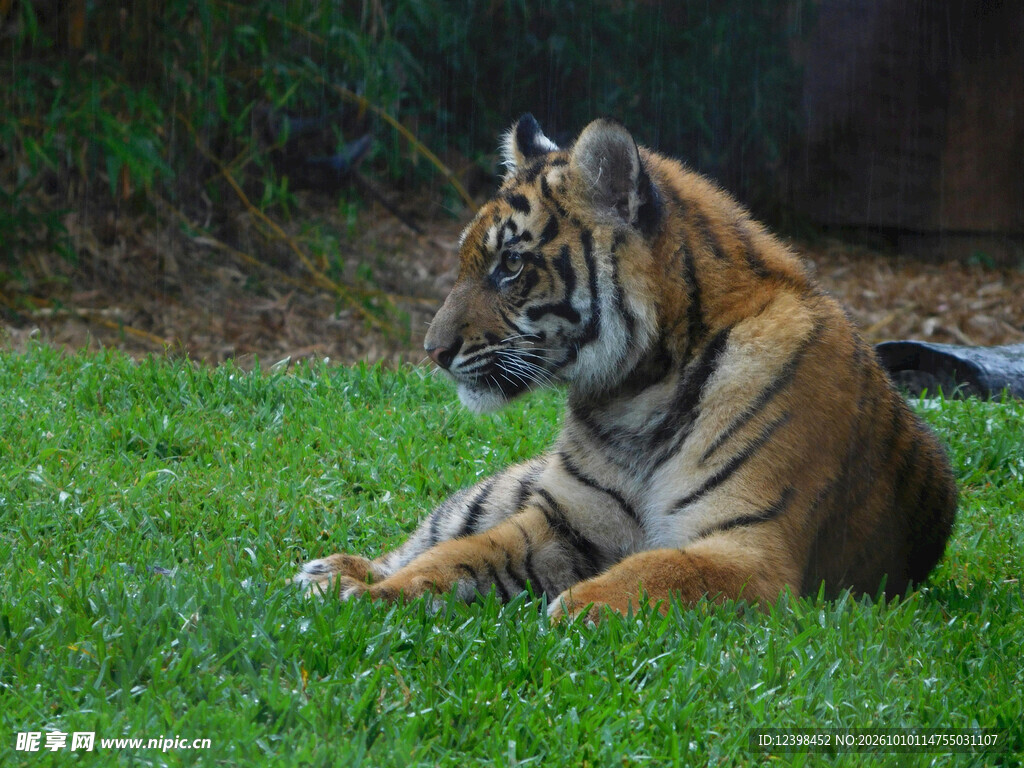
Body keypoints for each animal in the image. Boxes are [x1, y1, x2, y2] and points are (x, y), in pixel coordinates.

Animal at [295, 114, 958, 622]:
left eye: (511, 265)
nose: (432, 352)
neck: (640, 392)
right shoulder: (562, 519)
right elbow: (457, 555)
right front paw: (371, 595)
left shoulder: (749, 547)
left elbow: (658, 570)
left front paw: (573, 607)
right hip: (502, 488)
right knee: (424, 538)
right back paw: (331, 571)